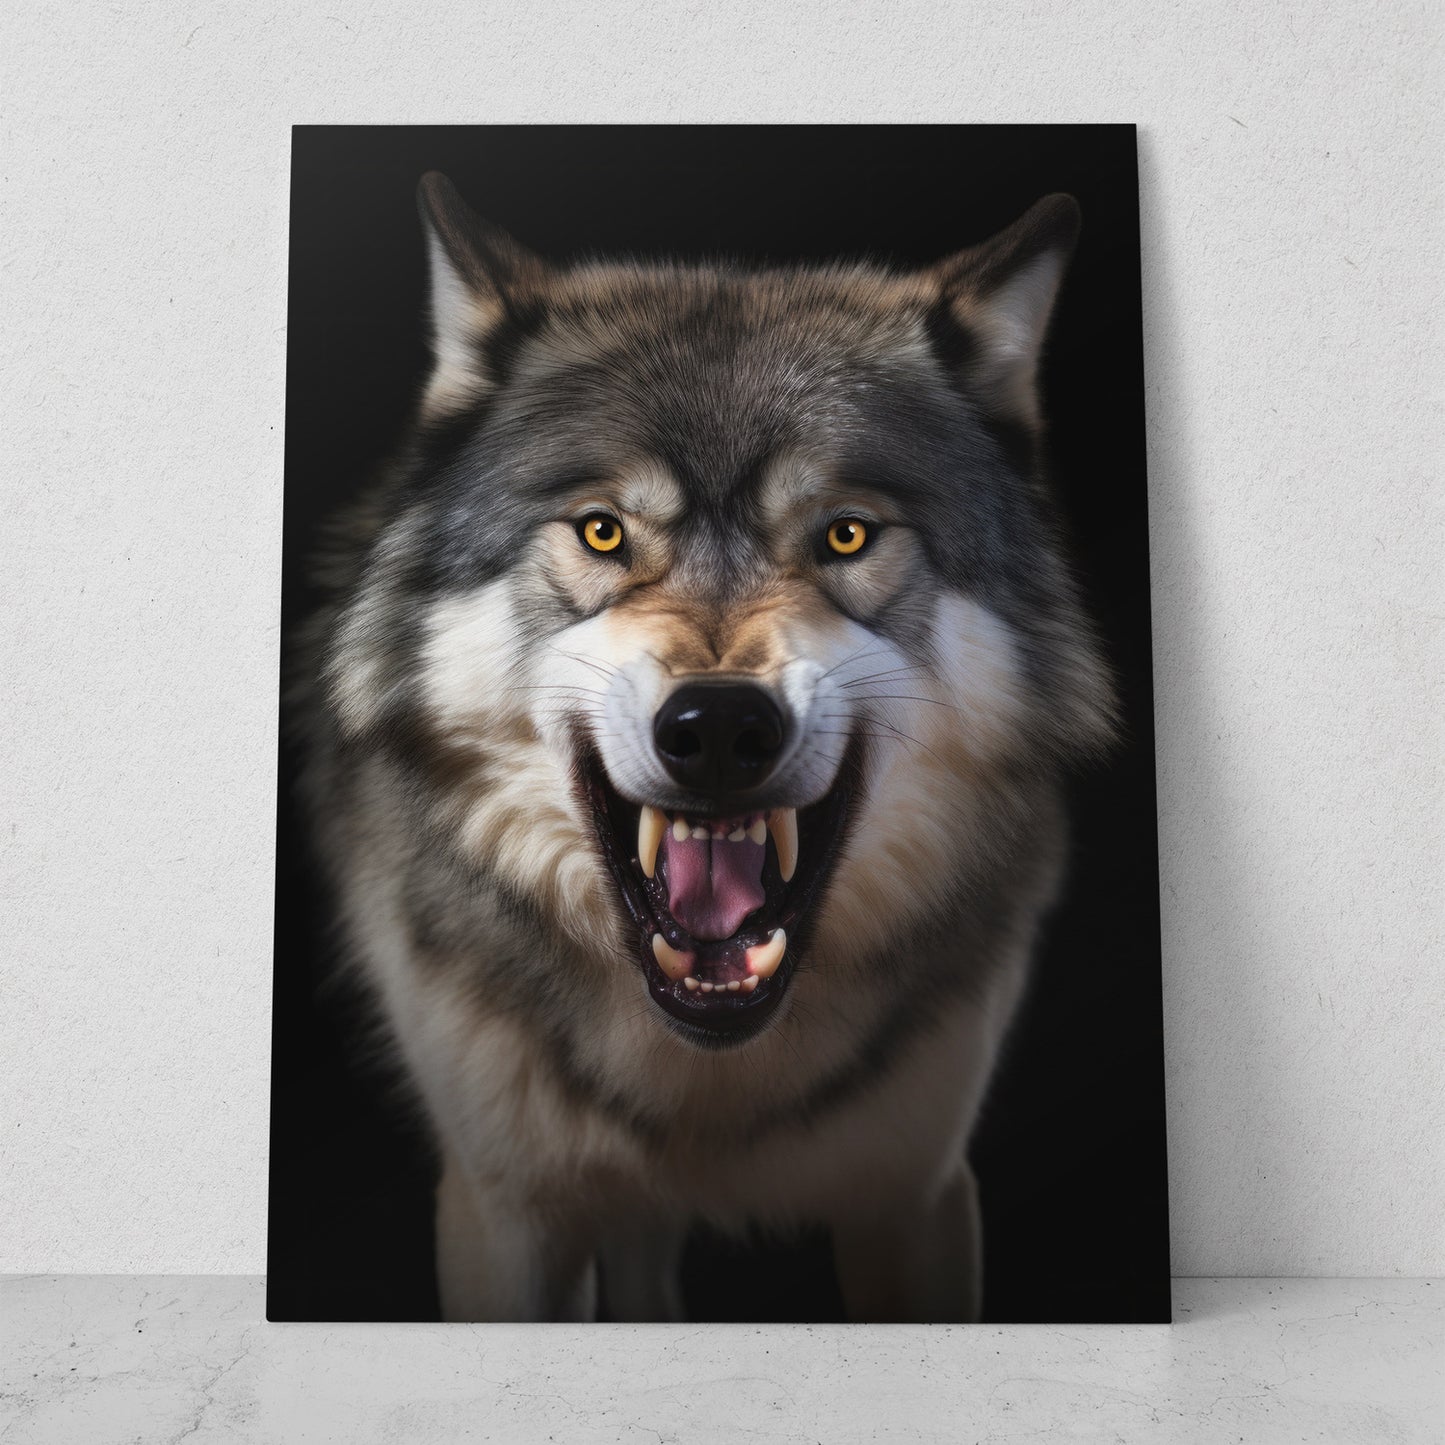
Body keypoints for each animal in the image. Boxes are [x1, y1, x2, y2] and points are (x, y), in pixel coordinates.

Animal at [293, 171, 1114, 1322]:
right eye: (601, 531)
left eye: (845, 534)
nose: (720, 726)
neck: (707, 1072)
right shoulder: (501, 1209)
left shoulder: (916, 1191)